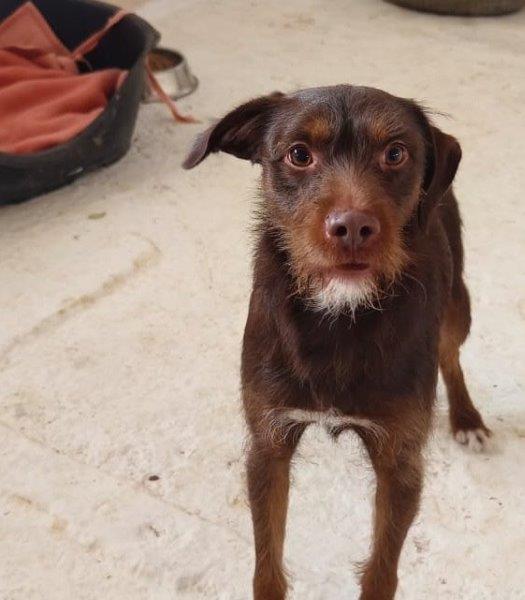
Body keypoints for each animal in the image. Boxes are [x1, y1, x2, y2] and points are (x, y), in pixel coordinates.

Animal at [183, 85, 490, 600]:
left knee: (451, 357)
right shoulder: (268, 446)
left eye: (395, 153)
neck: (338, 315)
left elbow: (381, 572)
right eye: (299, 155)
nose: (352, 229)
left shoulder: (399, 463)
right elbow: (267, 566)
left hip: (457, 306)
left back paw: (467, 417)